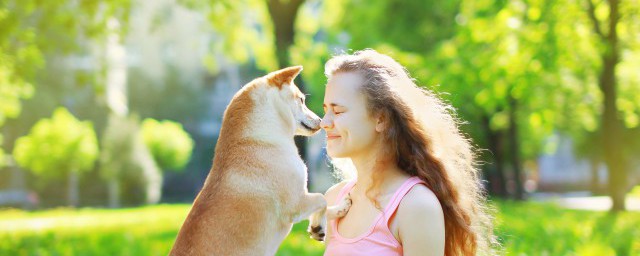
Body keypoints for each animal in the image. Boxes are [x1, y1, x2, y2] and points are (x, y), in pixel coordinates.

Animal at [170, 66, 350, 256]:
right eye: (301, 100)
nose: (320, 121)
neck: (257, 139)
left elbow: (326, 205)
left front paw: (339, 209)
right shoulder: (296, 203)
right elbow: (322, 199)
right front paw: (318, 225)